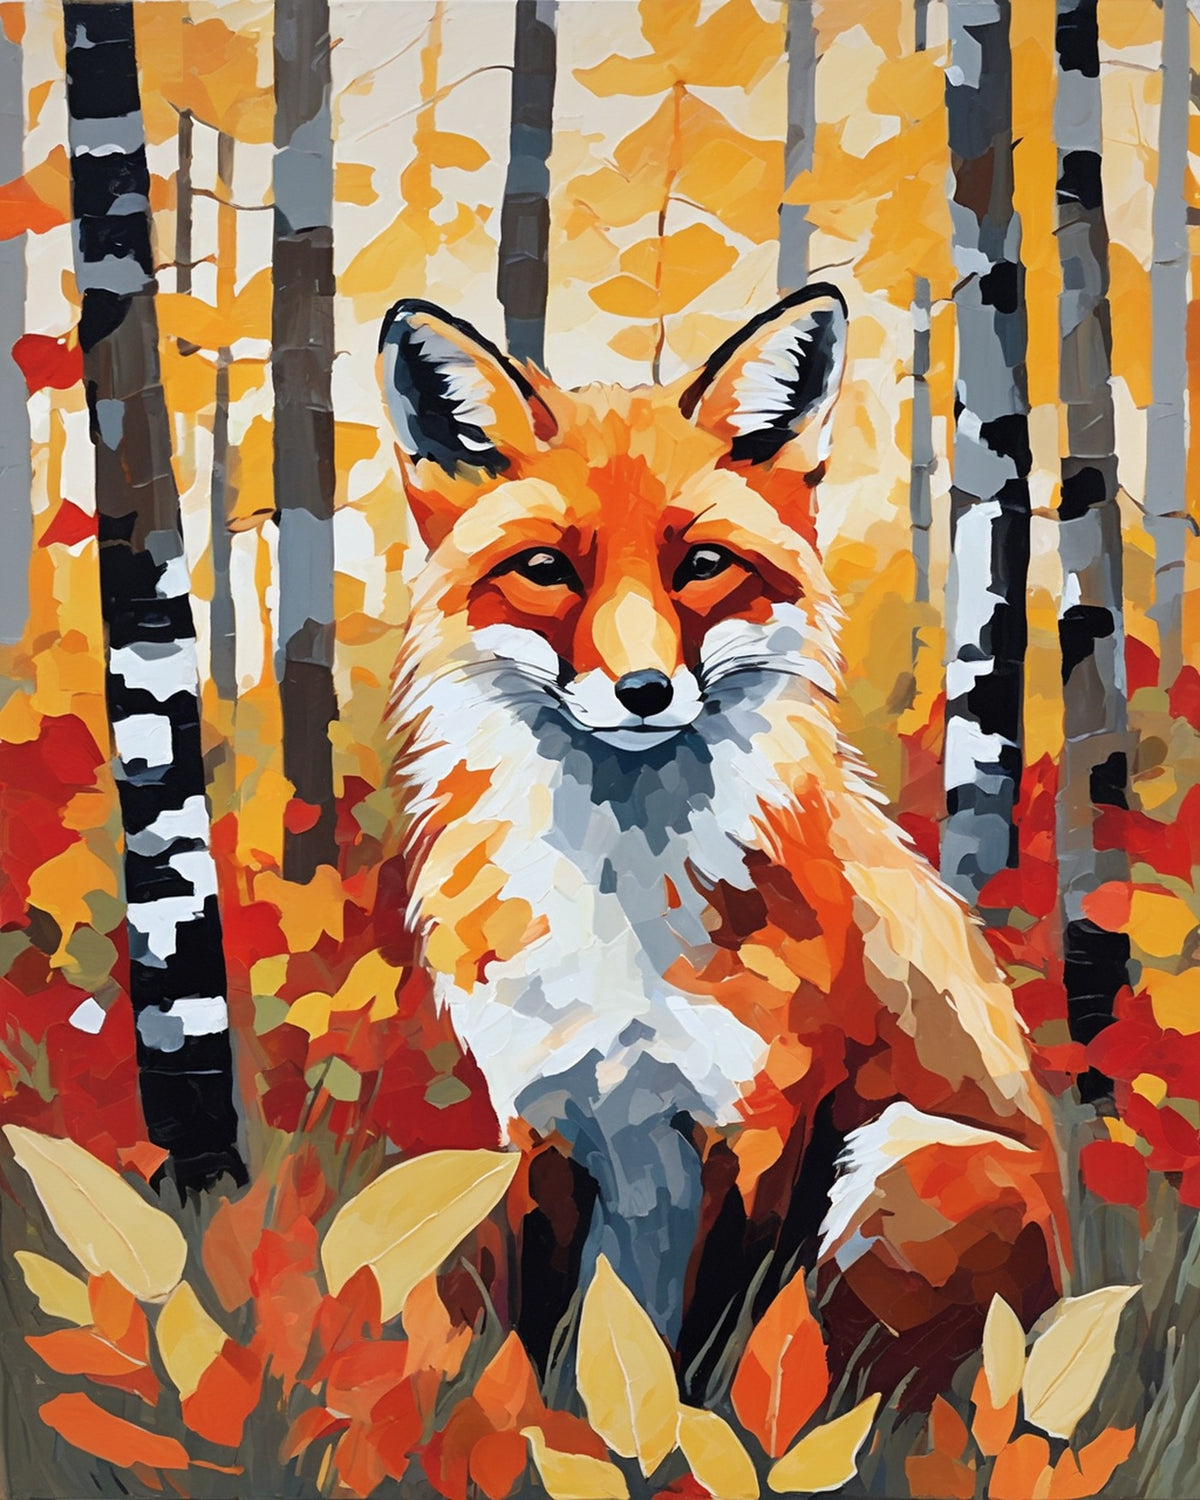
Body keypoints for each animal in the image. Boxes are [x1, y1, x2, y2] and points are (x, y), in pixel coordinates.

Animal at [377, 284, 1068, 1400]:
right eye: (545, 570)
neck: (617, 897)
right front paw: (528, 1429)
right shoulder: (538, 1120)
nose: (644, 691)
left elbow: (691, 1365)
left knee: (881, 1393)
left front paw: (664, 1436)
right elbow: (542, 1341)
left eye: (701, 564)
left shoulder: (759, 1132)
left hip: (906, 1160)